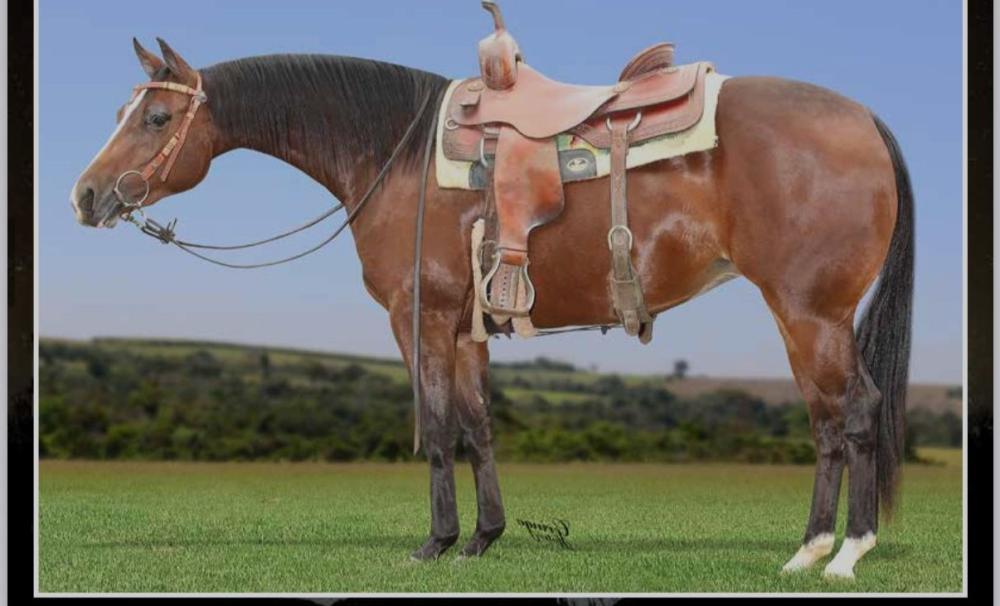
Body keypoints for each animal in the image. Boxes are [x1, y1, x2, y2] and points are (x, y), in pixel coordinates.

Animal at [69, 36, 913, 579]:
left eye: (154, 118)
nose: (84, 195)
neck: (397, 156)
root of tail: (864, 117)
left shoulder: (419, 318)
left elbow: (440, 427)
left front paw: (435, 544)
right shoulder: (468, 328)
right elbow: (478, 426)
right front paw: (483, 539)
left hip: (809, 312)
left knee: (852, 411)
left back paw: (842, 553)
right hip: (806, 318)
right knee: (828, 419)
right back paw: (812, 549)